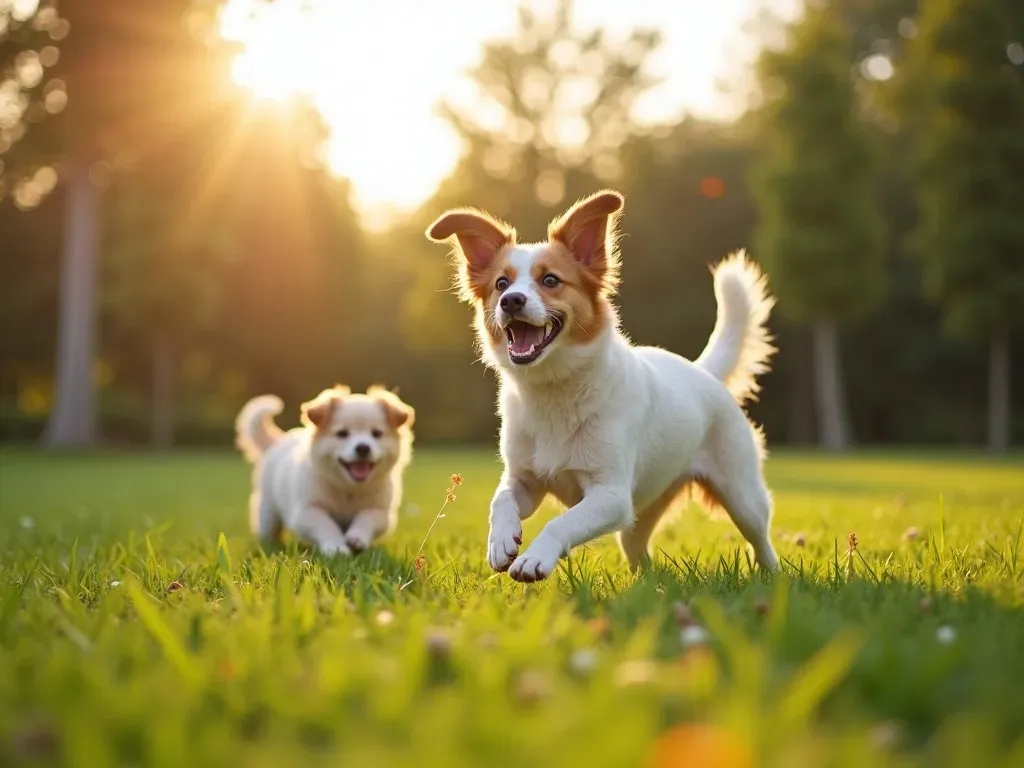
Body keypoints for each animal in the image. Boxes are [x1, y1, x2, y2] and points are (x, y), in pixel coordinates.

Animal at [237, 387, 413, 557]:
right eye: (342, 433)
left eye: (376, 434)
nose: (363, 447)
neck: (348, 489)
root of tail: (278, 441)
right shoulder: (308, 511)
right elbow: (326, 525)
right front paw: (336, 547)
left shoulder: (380, 512)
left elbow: (366, 519)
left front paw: (356, 538)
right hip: (268, 511)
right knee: (270, 530)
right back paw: (271, 544)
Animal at [428, 189, 778, 581]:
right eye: (501, 284)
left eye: (551, 280)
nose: (510, 301)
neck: (555, 387)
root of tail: (702, 371)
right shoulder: (525, 481)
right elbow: (500, 499)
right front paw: (500, 541)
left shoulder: (610, 495)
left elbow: (560, 523)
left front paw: (535, 557)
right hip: (640, 513)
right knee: (638, 551)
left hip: (742, 496)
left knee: (761, 540)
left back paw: (773, 576)